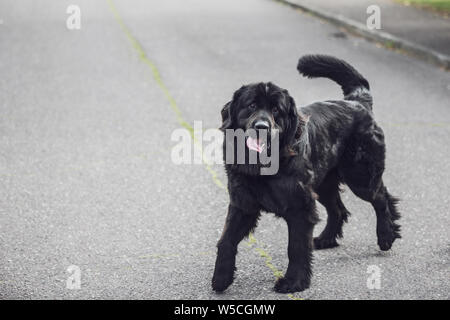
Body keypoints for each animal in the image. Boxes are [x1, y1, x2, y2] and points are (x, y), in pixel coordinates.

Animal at [211, 54, 400, 292]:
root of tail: (357, 102)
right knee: (339, 209)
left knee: (381, 197)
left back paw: (386, 235)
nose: (262, 126)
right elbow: (226, 240)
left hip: (360, 176)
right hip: (324, 183)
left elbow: (296, 247)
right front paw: (221, 277)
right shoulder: (243, 203)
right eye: (251, 105)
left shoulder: (300, 207)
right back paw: (326, 239)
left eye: (276, 110)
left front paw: (294, 282)